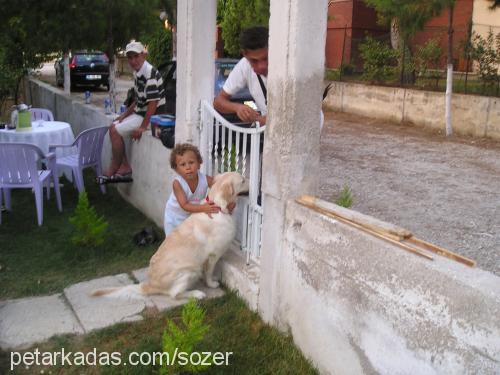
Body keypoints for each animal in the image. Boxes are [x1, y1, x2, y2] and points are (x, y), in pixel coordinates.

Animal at [92, 172, 248, 302]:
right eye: (243, 180)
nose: (251, 183)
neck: (218, 206)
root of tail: (148, 284)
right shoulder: (213, 255)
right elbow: (209, 272)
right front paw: (211, 284)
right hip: (189, 270)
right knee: (175, 294)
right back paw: (197, 294)